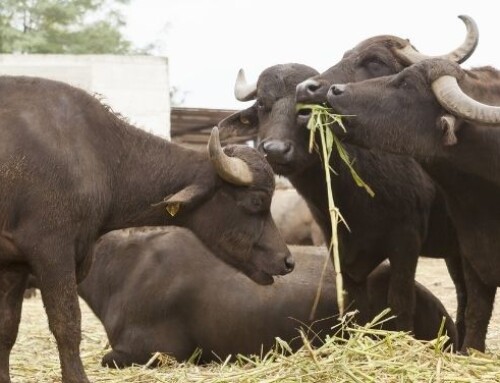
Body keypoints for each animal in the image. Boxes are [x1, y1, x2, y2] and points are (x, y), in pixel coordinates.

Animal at [0, 76, 292, 383]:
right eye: (257, 201)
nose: (287, 260)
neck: (100, 158)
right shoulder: (52, 251)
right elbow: (66, 324)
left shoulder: (14, 264)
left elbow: (7, 328)